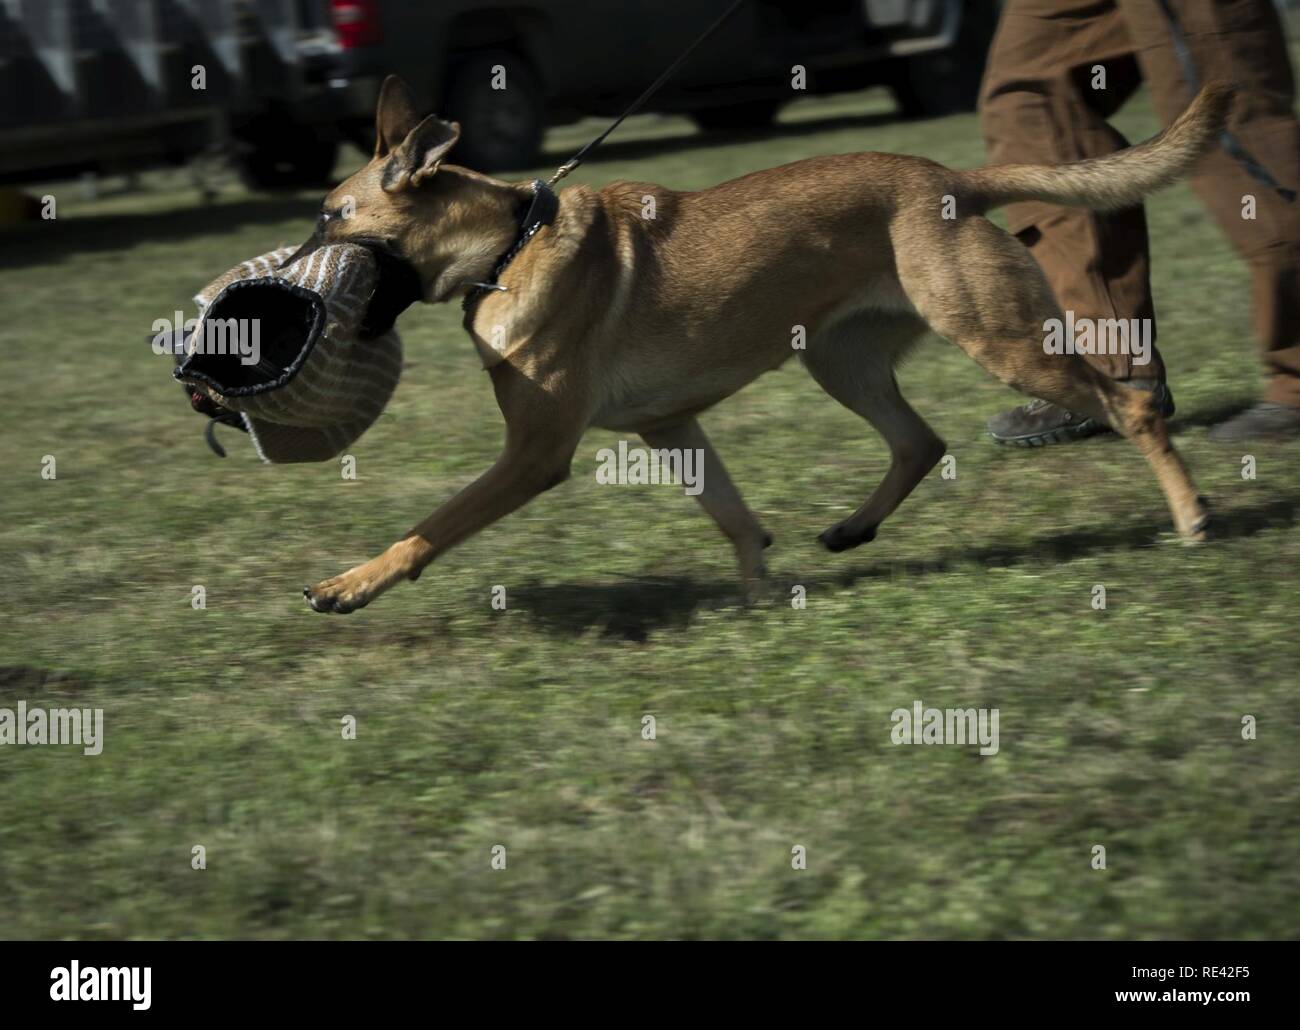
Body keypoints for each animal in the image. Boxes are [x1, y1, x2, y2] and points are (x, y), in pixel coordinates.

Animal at [301, 76, 1227, 616]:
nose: (288, 264)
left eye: (331, 215)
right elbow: (735, 517)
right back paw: (852, 531)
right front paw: (761, 596)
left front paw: (348, 585)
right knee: (920, 442)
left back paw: (1192, 518)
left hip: (998, 339)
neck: (509, 243)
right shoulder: (670, 427)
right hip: (841, 361)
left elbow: (430, 527)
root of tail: (955, 183)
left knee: (1131, 404)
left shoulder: (533, 455)